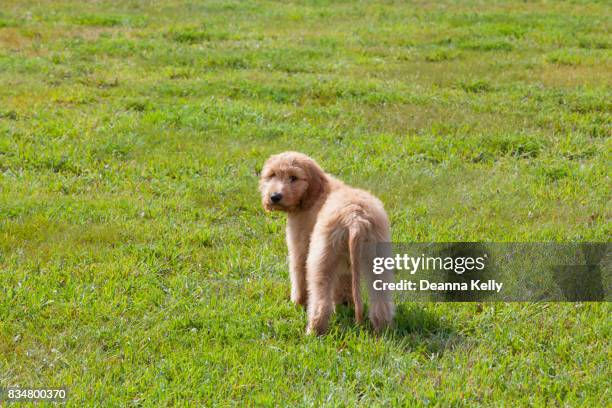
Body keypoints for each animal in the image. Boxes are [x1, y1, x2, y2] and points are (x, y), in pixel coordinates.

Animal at [260, 151, 394, 334]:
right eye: (272, 175)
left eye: (293, 177)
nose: (274, 197)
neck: (316, 194)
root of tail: (356, 219)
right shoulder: (345, 263)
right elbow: (343, 285)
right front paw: (344, 305)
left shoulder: (299, 247)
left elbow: (298, 275)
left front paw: (297, 303)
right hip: (377, 260)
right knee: (381, 301)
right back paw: (382, 330)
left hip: (321, 258)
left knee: (321, 301)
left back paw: (313, 332)